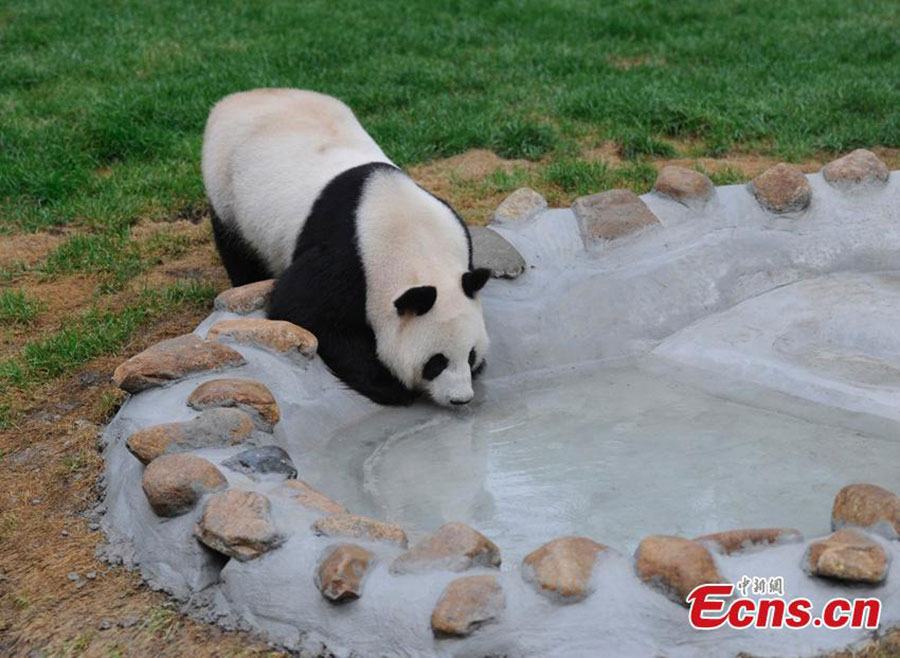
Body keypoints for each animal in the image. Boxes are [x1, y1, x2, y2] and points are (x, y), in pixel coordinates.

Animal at [200, 87, 488, 404]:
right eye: (436, 362)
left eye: (469, 354)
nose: (460, 398)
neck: (417, 246)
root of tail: (240, 96)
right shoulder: (348, 259)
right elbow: (303, 309)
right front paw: (388, 383)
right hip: (226, 184)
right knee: (237, 247)